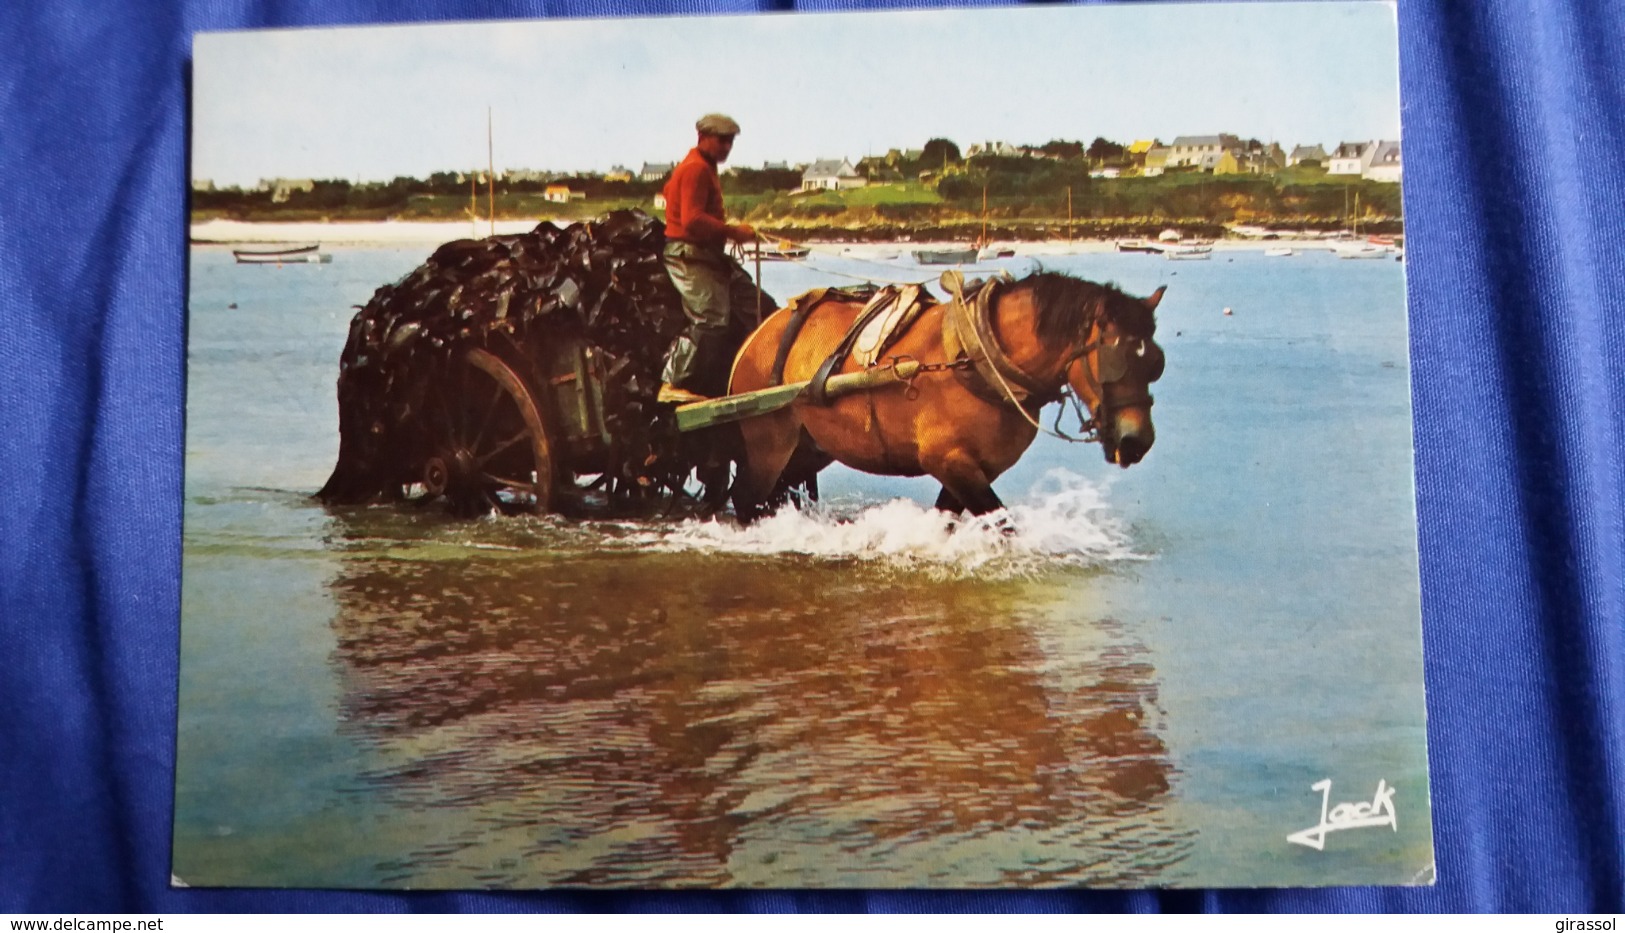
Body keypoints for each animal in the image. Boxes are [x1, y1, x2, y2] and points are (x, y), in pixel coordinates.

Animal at [728, 269, 1170, 523]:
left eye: (1156, 364)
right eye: (1113, 361)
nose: (1137, 441)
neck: (977, 357)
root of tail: (761, 331)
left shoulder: (974, 469)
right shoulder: (947, 460)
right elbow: (1002, 524)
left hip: (808, 447)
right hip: (768, 443)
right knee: (747, 500)